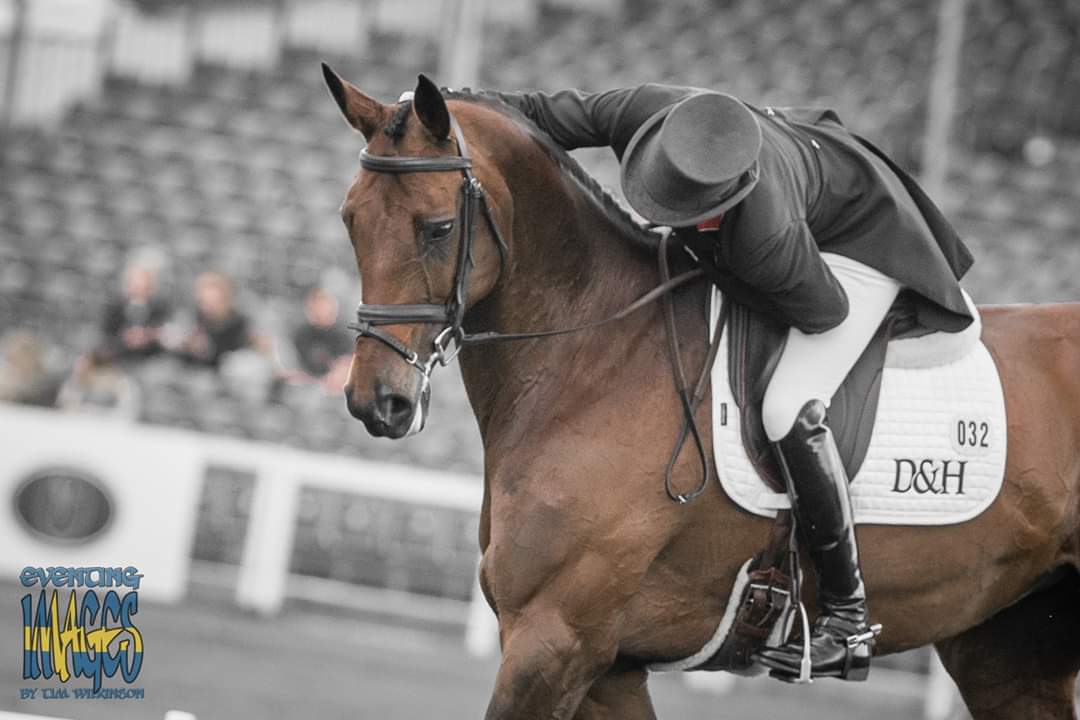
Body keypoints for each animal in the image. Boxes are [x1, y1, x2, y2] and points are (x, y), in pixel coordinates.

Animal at [322, 66, 1080, 719]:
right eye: (350, 219)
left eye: (439, 228)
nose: (376, 401)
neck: (597, 361)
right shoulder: (607, 666)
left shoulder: (553, 638)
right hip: (1008, 644)